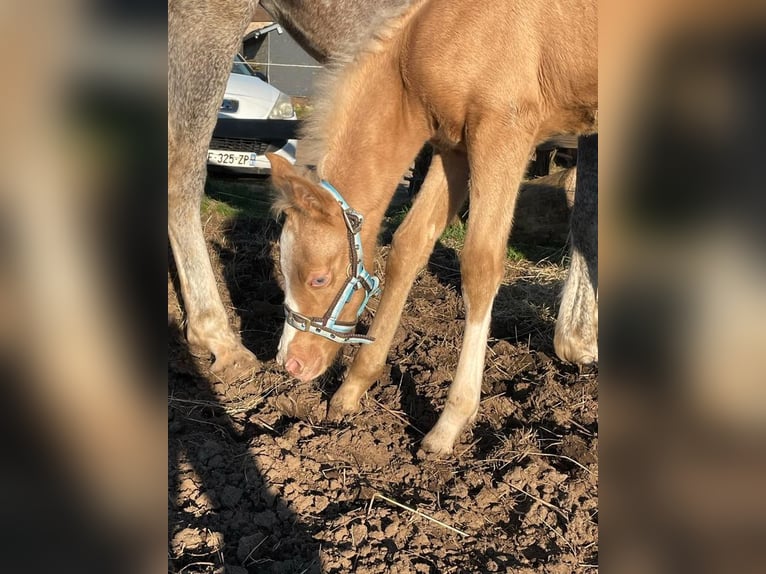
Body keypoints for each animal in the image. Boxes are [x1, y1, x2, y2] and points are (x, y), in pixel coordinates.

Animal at [270, 0, 600, 454]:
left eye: (319, 278)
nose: (291, 363)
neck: (429, 36)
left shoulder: (504, 132)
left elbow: (480, 264)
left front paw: (449, 425)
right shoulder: (453, 147)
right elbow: (408, 246)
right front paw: (351, 391)